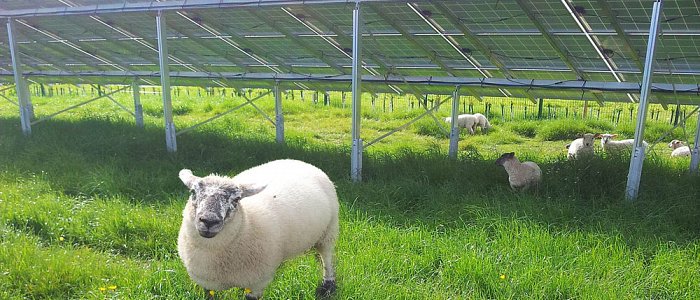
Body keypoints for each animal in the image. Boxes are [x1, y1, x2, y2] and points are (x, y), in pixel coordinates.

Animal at [175, 159, 340, 300]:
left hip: (329, 230)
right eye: (193, 192)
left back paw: (328, 285)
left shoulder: (257, 283)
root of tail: (300, 162)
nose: (209, 221)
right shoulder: (206, 283)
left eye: (236, 199)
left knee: (326, 257)